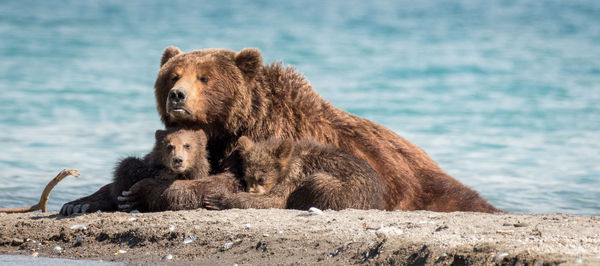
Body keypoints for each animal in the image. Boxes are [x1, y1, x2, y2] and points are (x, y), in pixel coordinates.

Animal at [61, 46, 500, 215]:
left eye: (205, 77)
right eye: (172, 73)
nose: (177, 95)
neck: (231, 126)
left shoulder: (261, 145)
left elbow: (227, 180)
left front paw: (145, 191)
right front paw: (81, 201)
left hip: (425, 187)